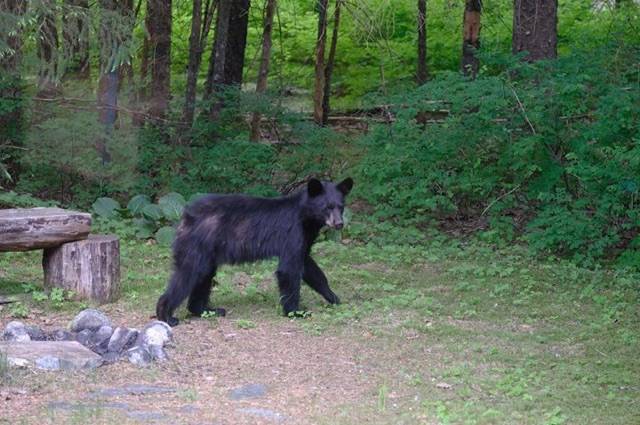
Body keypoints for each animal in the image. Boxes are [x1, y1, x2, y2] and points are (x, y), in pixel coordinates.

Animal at [155, 177, 354, 326]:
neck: (306, 217)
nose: (339, 223)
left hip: (207, 252)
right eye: (327, 206)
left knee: (203, 276)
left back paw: (207, 310)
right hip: (197, 245)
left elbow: (311, 268)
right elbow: (289, 270)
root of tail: (184, 216)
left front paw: (334, 298)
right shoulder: (292, 234)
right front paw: (295, 312)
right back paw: (166, 315)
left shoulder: (305, 240)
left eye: (341, 206)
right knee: (188, 274)